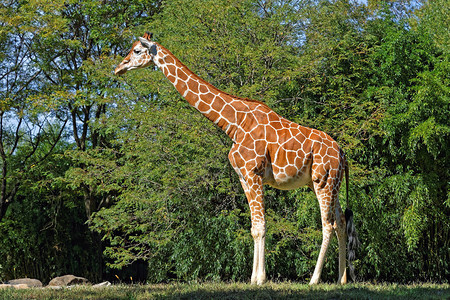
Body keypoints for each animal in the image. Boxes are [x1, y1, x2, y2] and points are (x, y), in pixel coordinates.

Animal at [115, 31, 358, 284]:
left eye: (137, 50)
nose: (119, 68)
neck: (233, 124)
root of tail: (343, 154)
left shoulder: (254, 173)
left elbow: (261, 226)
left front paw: (261, 279)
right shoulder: (243, 176)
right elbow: (253, 228)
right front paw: (252, 279)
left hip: (323, 181)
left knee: (328, 225)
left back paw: (314, 280)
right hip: (328, 183)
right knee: (341, 223)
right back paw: (341, 280)